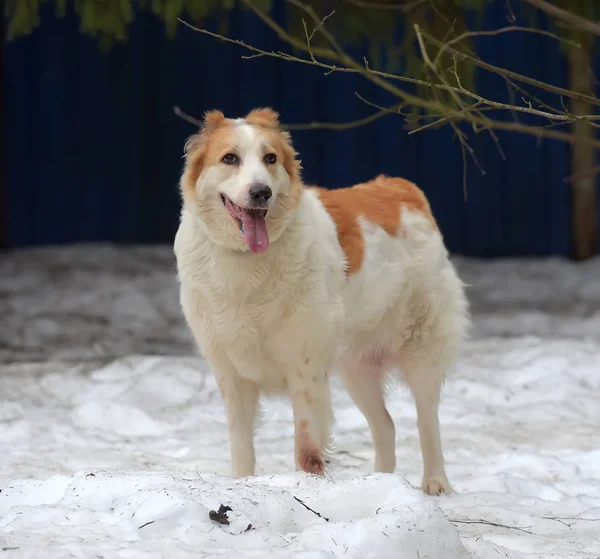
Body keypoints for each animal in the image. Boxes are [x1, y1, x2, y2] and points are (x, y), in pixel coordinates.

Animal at [173, 108, 468, 494]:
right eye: (230, 159)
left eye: (270, 159)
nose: (261, 192)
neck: (246, 260)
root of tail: (401, 188)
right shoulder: (230, 374)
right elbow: (241, 446)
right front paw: (241, 486)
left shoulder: (306, 371)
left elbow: (307, 450)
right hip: (356, 368)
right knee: (385, 425)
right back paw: (382, 484)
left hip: (421, 350)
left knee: (427, 421)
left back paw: (435, 483)